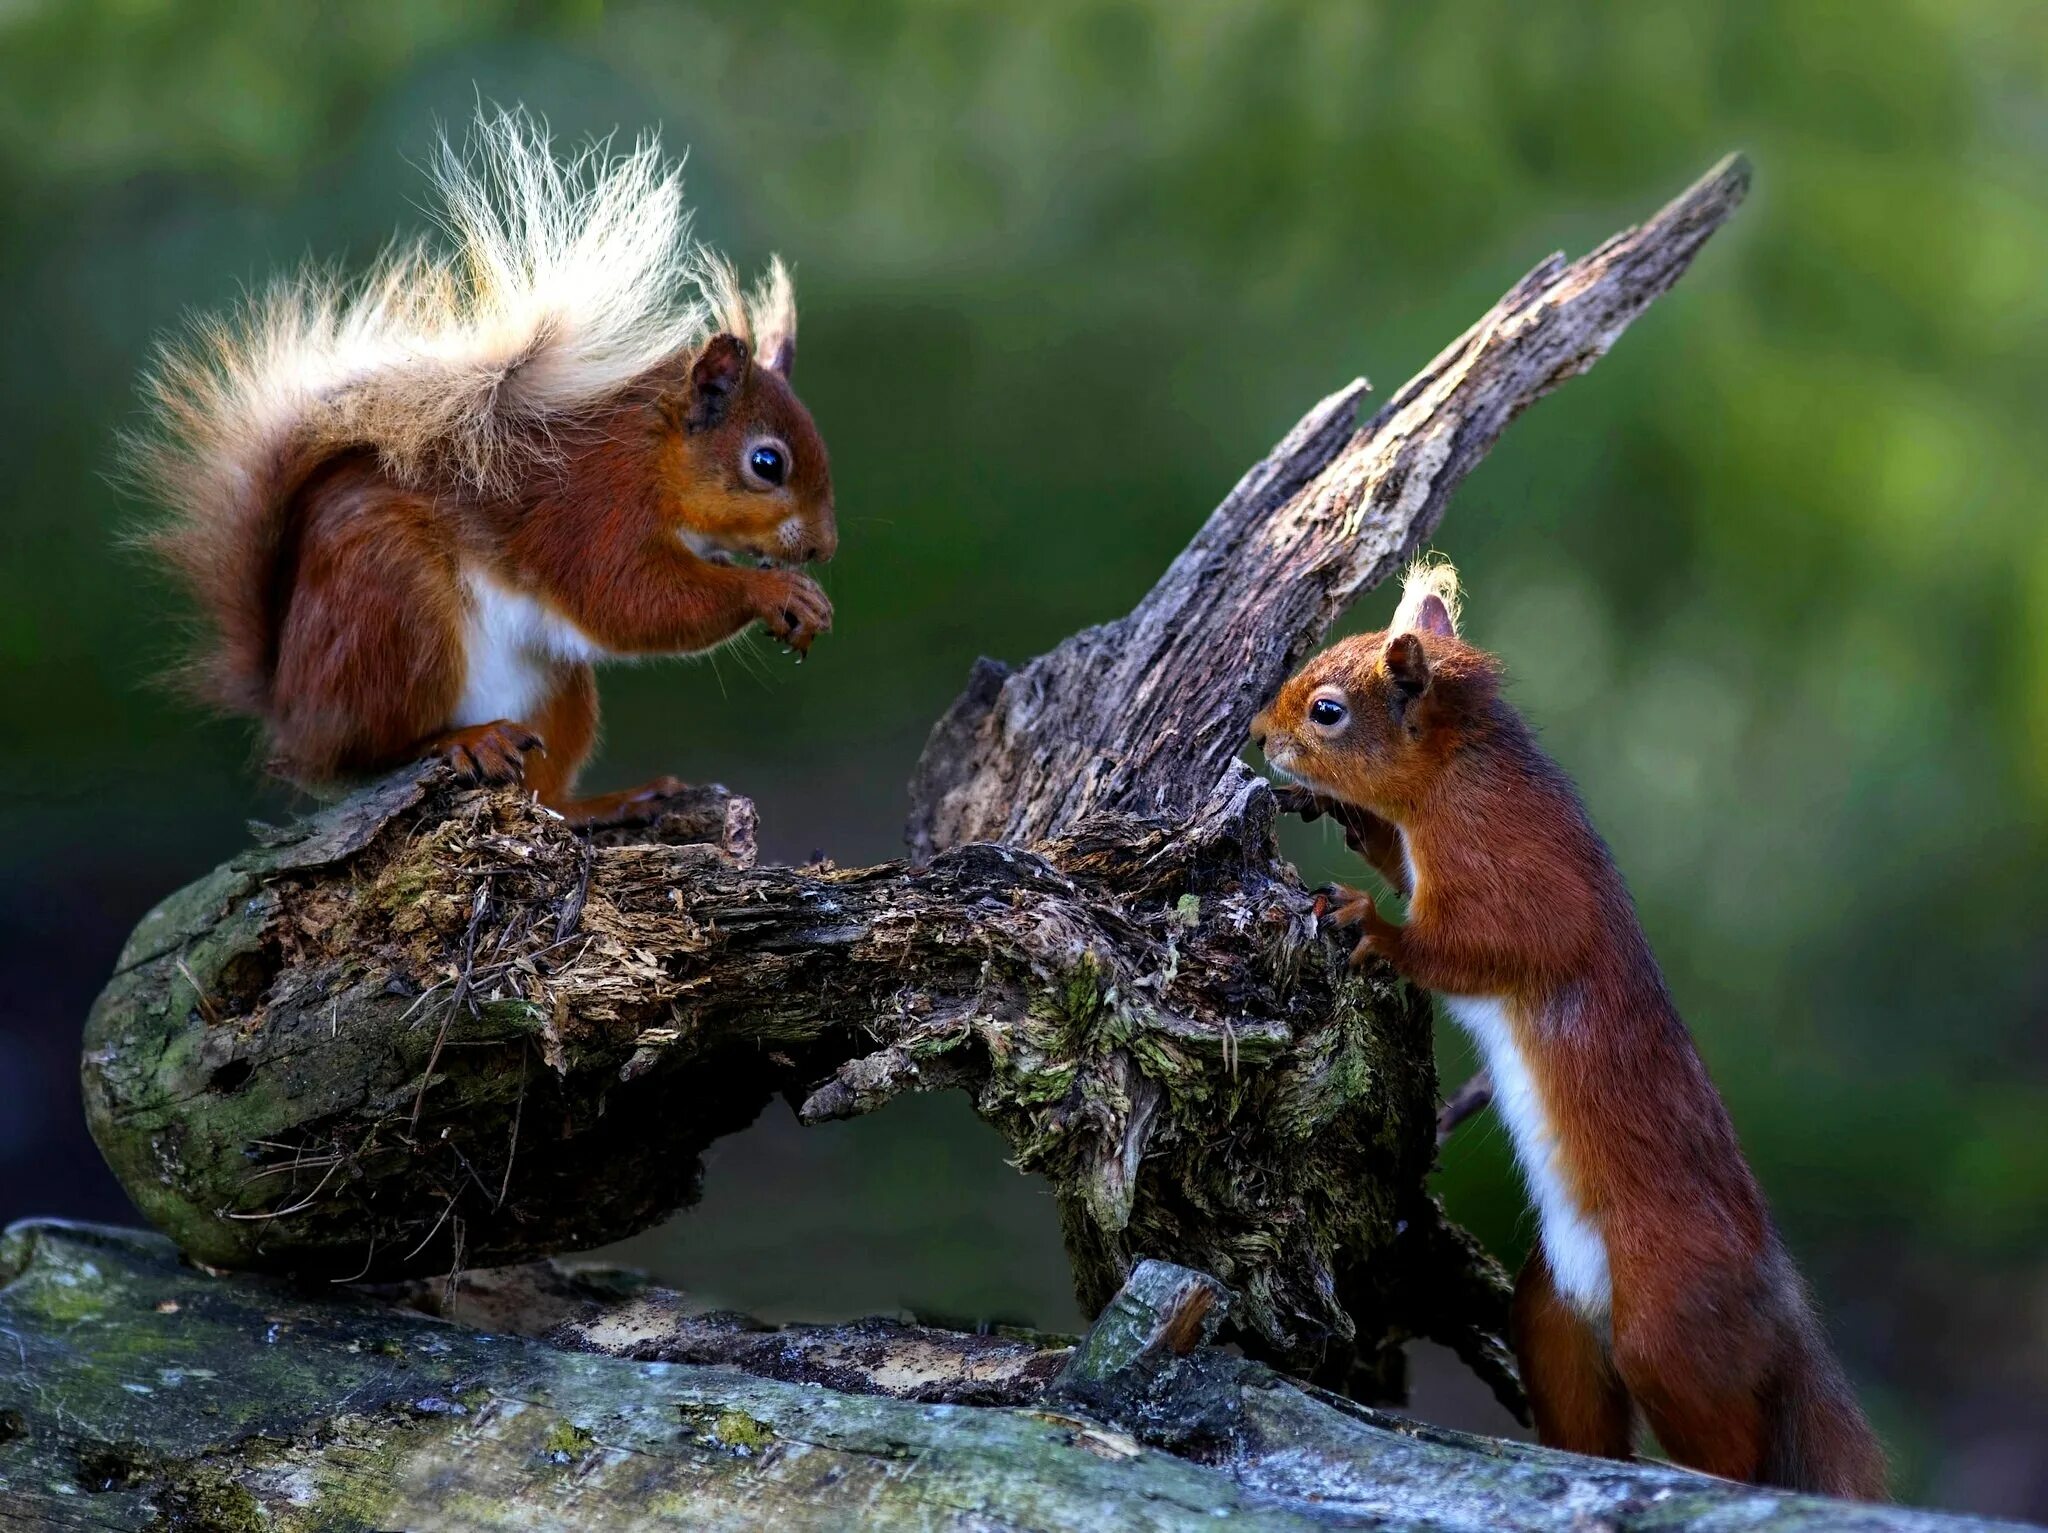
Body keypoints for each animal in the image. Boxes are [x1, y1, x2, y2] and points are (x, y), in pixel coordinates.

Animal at [132, 113, 835, 818]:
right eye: (766, 463)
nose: (823, 549)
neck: (654, 459)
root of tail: (291, 711)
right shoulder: (593, 511)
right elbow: (630, 600)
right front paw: (774, 592)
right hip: (395, 609)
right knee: (372, 752)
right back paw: (462, 741)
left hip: (554, 685)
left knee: (545, 794)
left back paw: (609, 804)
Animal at [1245, 560, 1884, 1498]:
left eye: (1327, 710)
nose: (1259, 735)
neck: (1457, 775)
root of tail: (1777, 1302)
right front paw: (1350, 824)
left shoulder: (1515, 875)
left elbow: (1482, 947)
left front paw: (1373, 924)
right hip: (1551, 1319)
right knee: (1584, 1421)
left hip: (1670, 1327)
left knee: (1733, 1448)